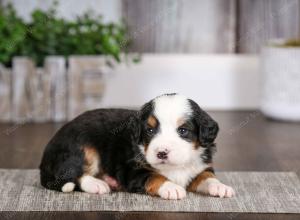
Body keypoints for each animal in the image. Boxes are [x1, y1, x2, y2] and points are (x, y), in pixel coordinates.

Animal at [39, 93, 234, 200]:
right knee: (75, 175)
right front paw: (171, 187)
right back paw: (98, 184)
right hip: (82, 148)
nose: (161, 153)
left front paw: (220, 187)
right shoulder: (132, 170)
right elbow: (154, 176)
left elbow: (207, 176)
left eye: (183, 130)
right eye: (150, 130)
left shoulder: (200, 167)